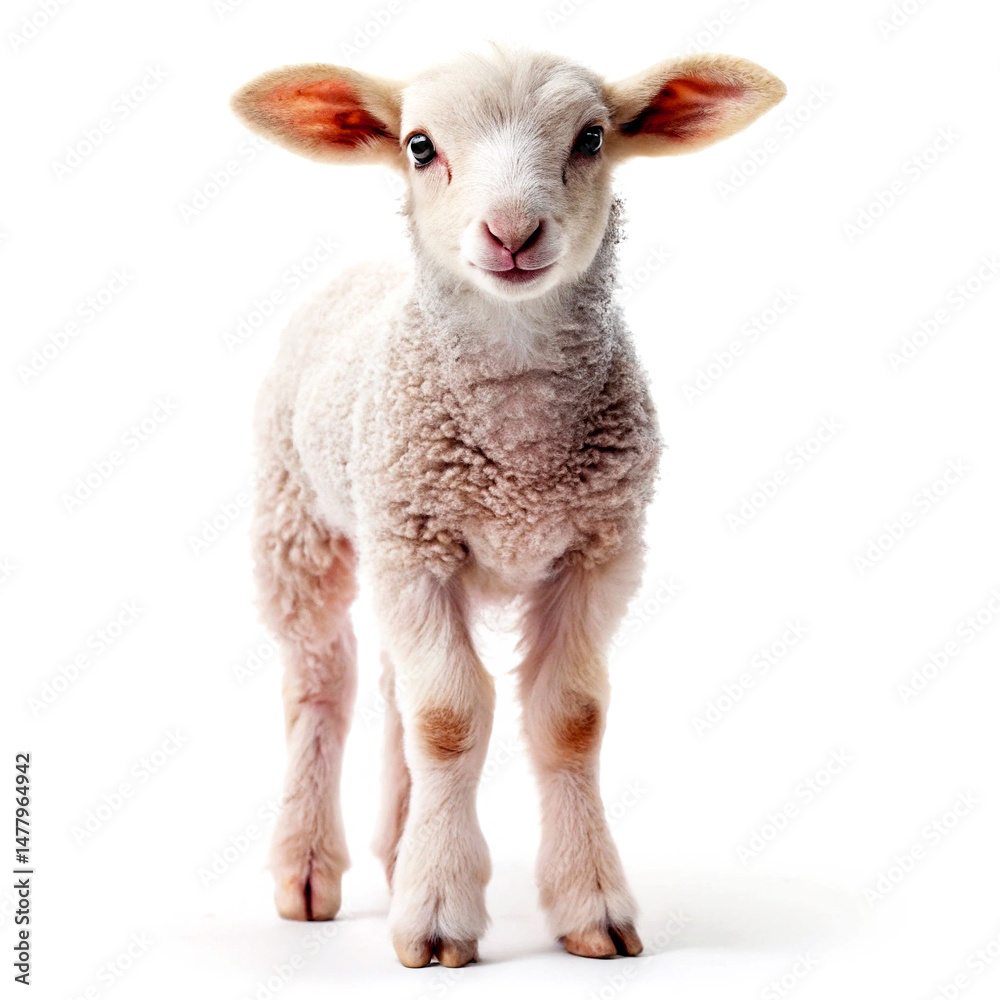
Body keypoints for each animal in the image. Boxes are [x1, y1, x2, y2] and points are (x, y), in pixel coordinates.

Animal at [231, 45, 785, 968]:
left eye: (591, 136)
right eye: (419, 147)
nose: (513, 234)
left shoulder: (599, 548)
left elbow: (569, 719)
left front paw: (591, 905)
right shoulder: (418, 544)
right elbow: (451, 718)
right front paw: (437, 916)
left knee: (394, 688)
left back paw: (400, 847)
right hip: (300, 520)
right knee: (321, 684)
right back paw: (308, 868)